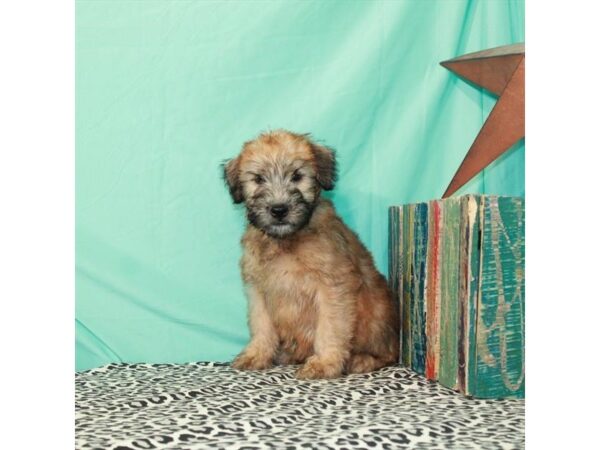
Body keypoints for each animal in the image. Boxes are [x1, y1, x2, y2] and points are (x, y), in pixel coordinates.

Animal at [221, 130, 398, 380]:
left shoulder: (332, 286)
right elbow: (261, 324)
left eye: (297, 176)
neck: (286, 242)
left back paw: (361, 359)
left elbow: (330, 327)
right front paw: (256, 354)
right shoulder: (258, 289)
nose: (279, 210)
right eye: (258, 179)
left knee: (387, 353)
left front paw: (324, 363)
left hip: (378, 314)